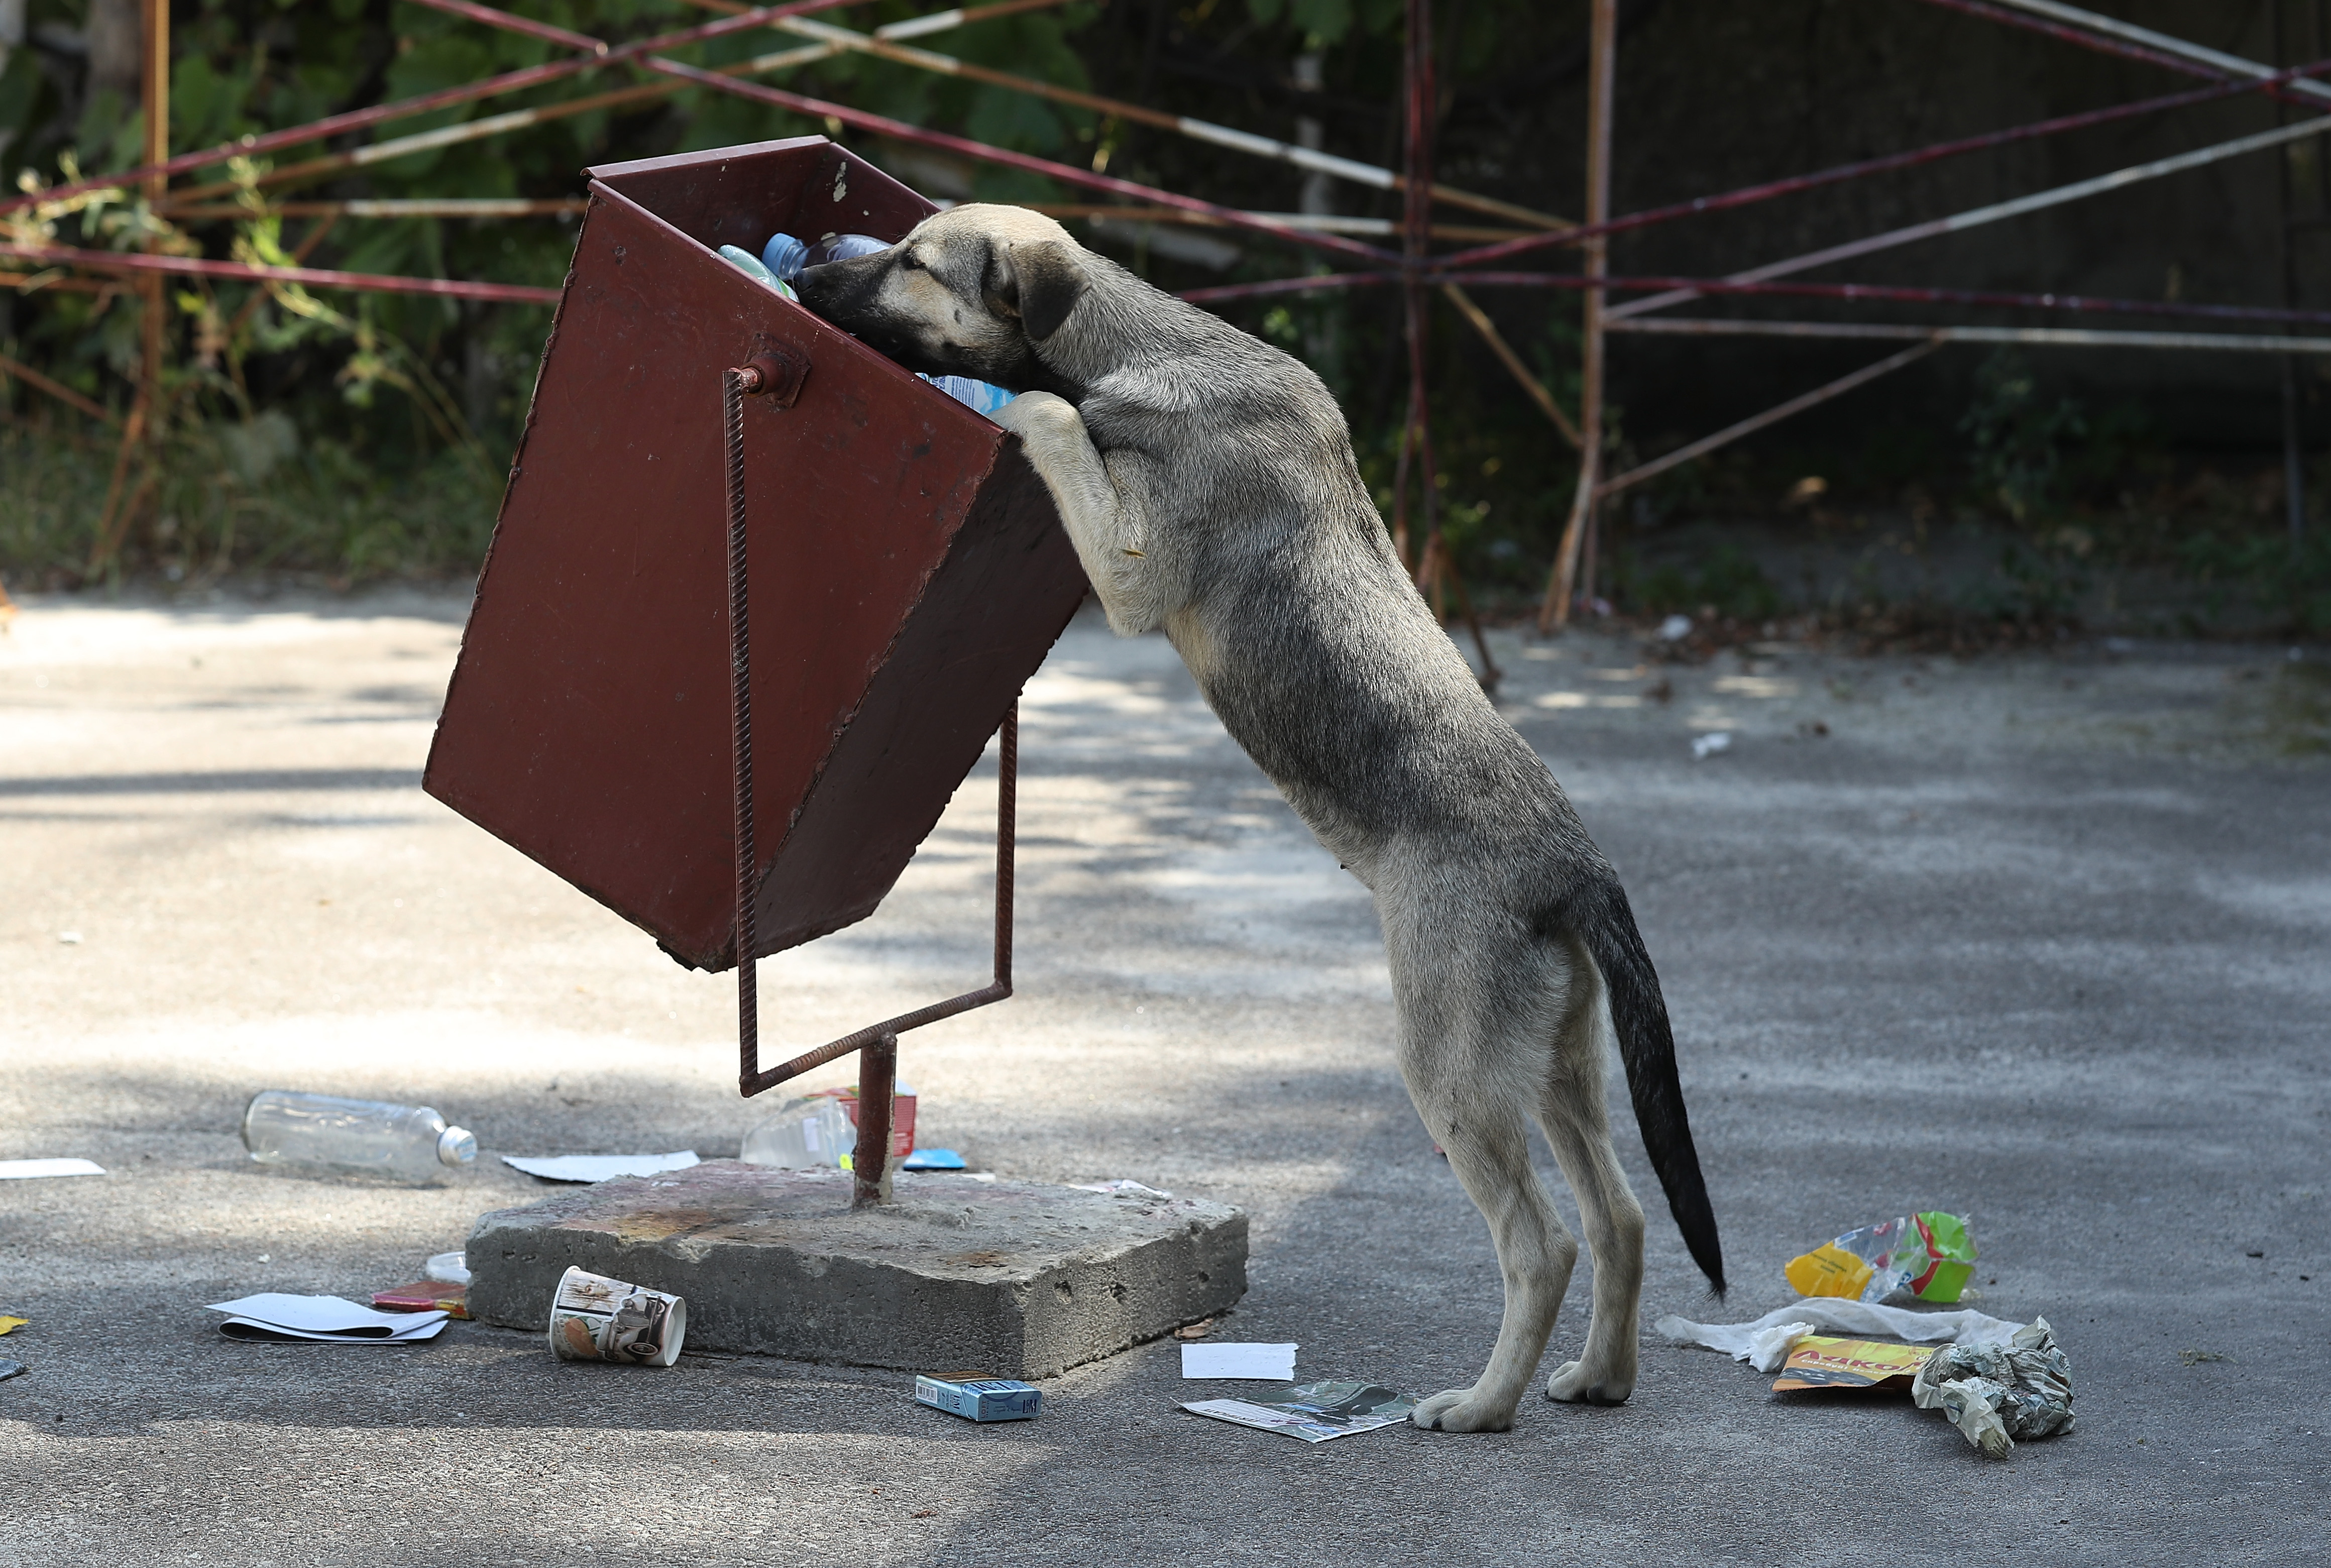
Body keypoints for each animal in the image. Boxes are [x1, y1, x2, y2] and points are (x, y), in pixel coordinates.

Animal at [792, 205, 1725, 1435]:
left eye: (913, 264)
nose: (809, 264)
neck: (1137, 346)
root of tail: (1579, 870)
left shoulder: (1132, 567)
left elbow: (1054, 418)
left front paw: (1026, 405)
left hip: (1452, 1069)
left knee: (1544, 1243)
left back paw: (1480, 1405)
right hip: (1554, 1063)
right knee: (1619, 1216)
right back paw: (1597, 1377)